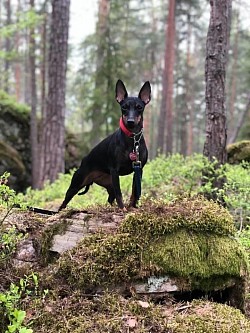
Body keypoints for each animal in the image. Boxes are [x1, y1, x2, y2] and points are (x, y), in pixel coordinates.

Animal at [59, 80, 150, 210]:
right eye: (124, 107)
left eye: (139, 108)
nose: (130, 121)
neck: (132, 139)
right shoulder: (115, 170)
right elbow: (120, 194)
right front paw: (123, 209)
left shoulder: (139, 169)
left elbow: (135, 192)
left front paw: (132, 207)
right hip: (76, 184)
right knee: (64, 202)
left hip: (109, 183)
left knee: (110, 199)